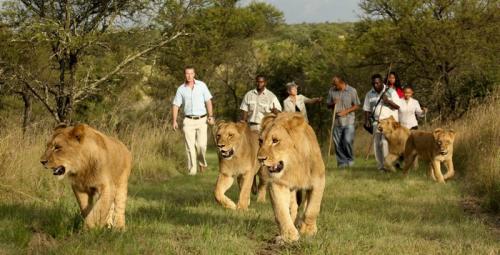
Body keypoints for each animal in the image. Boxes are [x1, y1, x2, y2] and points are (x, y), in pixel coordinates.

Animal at [256, 112, 326, 242]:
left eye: (275, 140)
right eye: (260, 141)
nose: (260, 159)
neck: (293, 166)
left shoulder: (319, 181)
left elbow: (312, 209)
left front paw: (308, 231)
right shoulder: (278, 184)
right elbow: (281, 211)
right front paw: (289, 235)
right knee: (293, 207)